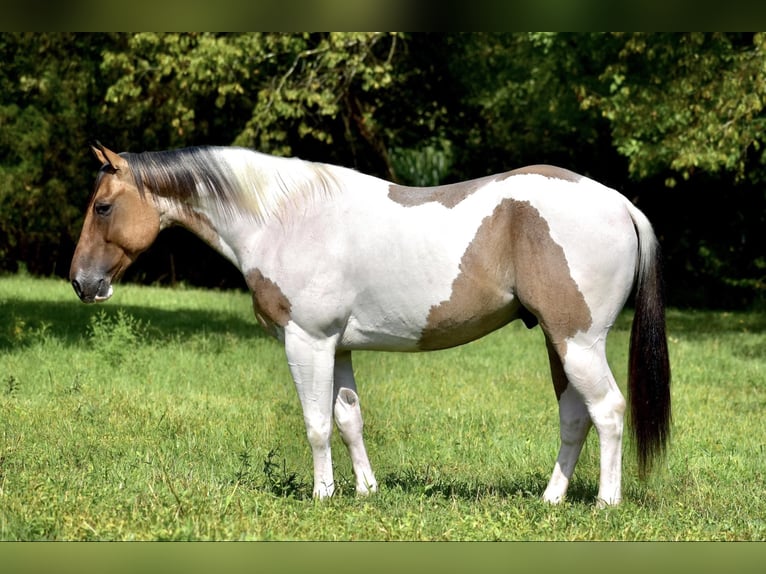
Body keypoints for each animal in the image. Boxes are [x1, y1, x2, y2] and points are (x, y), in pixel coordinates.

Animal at [72, 144, 672, 508]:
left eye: (102, 207)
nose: (81, 282)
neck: (284, 217)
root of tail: (621, 204)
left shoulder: (307, 341)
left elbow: (316, 424)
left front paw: (323, 495)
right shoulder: (336, 347)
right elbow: (348, 420)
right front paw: (365, 490)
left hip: (579, 342)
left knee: (608, 410)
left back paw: (605, 502)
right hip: (557, 342)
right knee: (575, 417)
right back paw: (552, 499)